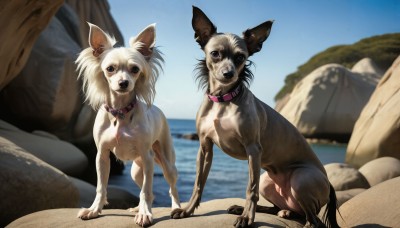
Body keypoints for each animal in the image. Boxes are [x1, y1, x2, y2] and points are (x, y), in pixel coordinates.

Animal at [74, 22, 180, 226]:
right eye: (110, 68)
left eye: (135, 69)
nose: (124, 83)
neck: (120, 112)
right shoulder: (102, 156)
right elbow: (101, 187)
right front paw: (94, 209)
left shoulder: (147, 157)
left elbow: (146, 190)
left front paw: (146, 214)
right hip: (137, 171)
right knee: (149, 191)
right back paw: (138, 208)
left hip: (165, 164)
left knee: (170, 188)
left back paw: (177, 208)